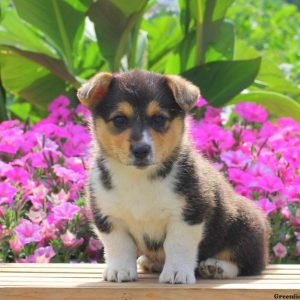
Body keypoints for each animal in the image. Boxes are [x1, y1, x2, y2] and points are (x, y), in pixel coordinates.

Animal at [77, 69, 270, 284]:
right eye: (119, 119)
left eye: (159, 119)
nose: (141, 150)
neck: (139, 177)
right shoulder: (108, 217)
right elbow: (119, 245)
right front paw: (120, 270)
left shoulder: (188, 215)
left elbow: (177, 245)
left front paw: (177, 273)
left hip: (246, 226)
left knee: (248, 263)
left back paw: (216, 267)